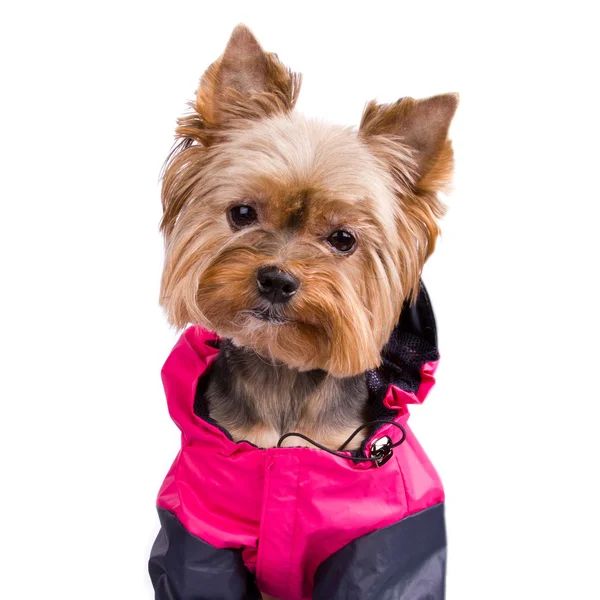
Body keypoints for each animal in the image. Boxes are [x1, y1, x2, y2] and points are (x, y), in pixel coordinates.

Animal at [151, 23, 460, 600]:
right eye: (242, 212)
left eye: (343, 239)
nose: (277, 278)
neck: (285, 381)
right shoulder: (198, 530)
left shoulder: (382, 538)